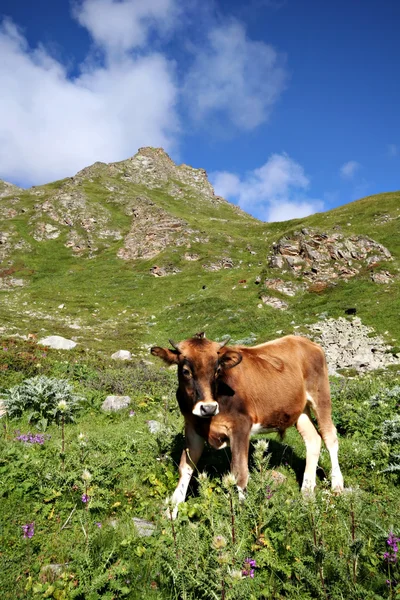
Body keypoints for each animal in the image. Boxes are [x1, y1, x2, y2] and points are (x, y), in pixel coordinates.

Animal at [151, 330, 344, 516]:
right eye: (186, 371)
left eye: (217, 370)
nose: (208, 408)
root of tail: (306, 342)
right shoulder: (192, 427)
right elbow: (185, 468)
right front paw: (171, 511)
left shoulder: (241, 426)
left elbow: (239, 472)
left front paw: (243, 512)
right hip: (299, 410)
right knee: (313, 440)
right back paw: (307, 491)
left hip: (321, 395)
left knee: (330, 438)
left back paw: (337, 486)